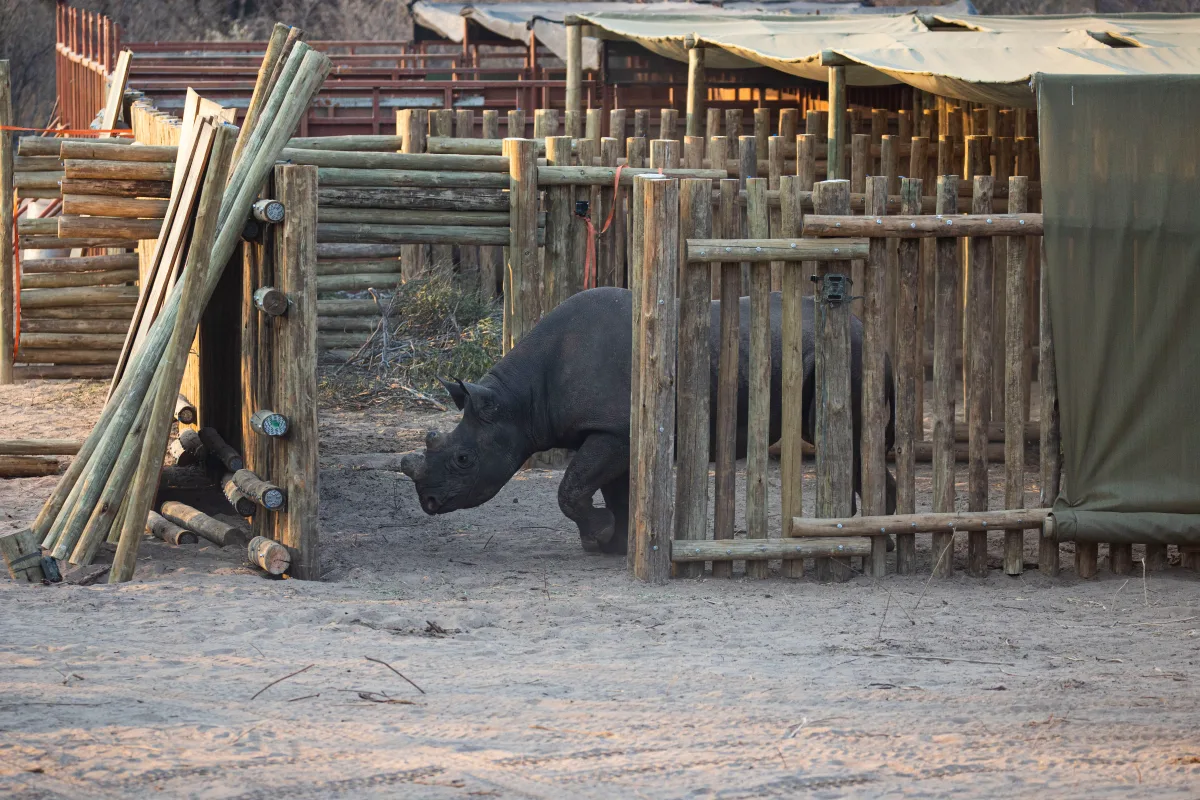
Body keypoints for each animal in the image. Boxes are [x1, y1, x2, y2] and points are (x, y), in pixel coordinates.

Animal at [400, 286, 896, 555]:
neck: (517, 399)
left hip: (845, 354)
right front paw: (611, 542)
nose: (428, 502)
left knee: (843, 440)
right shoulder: (613, 431)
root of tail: (860, 325)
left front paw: (601, 536)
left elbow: (571, 488)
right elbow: (609, 490)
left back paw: (884, 544)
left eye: (464, 459)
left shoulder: (613, 429)